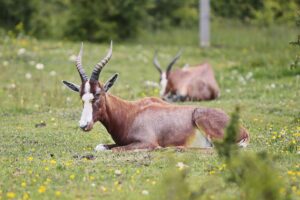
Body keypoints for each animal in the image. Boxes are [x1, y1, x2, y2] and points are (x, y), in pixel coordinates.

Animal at [62, 42, 250, 152]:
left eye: (98, 94)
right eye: (81, 96)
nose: (84, 125)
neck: (131, 112)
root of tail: (243, 130)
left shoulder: (146, 143)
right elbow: (100, 147)